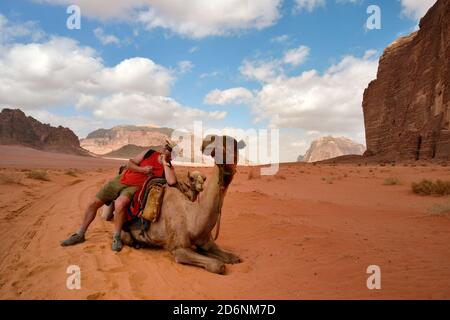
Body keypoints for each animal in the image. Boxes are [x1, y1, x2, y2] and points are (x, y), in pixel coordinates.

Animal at [120, 136, 246, 274]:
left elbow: (236, 258)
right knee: (126, 237)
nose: (229, 169)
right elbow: (218, 265)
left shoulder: (206, 241)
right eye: (219, 148)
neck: (191, 219)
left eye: (236, 149)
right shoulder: (178, 249)